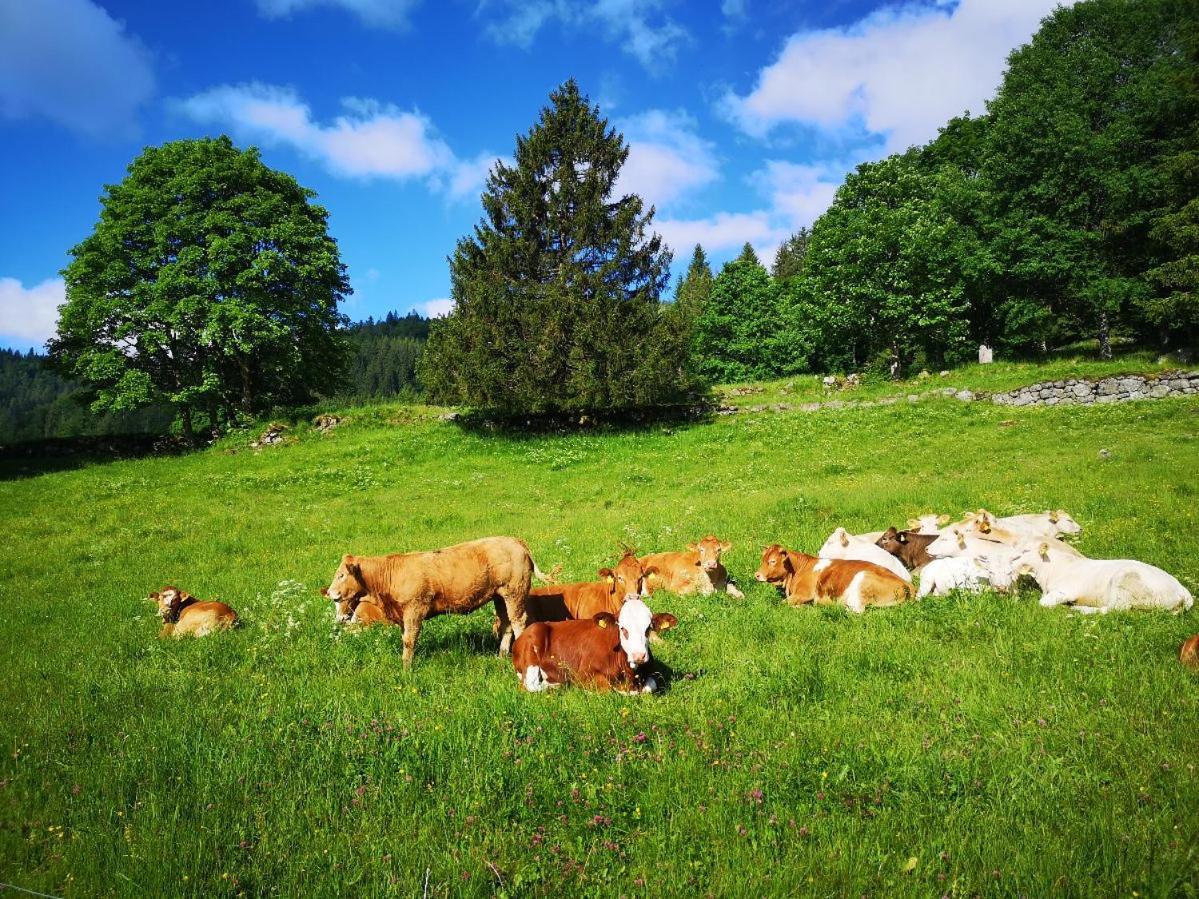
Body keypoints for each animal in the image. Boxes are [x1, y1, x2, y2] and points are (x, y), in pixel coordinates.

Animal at [321, 534, 541, 671]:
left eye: (341, 575)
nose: (330, 593)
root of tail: (515, 541)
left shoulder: (414, 609)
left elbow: (409, 641)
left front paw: (406, 668)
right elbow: (406, 638)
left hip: (515, 592)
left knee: (518, 622)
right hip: (500, 596)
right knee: (506, 624)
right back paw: (501, 655)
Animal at [513, 599, 681, 695]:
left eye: (648, 628)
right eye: (622, 628)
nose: (639, 655)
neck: (630, 675)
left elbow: (651, 686)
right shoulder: (584, 674)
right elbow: (607, 690)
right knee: (529, 686)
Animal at [752, 546, 911, 618]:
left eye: (772, 561)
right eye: (763, 559)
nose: (757, 575)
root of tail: (906, 582)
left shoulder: (803, 593)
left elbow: (782, 603)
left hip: (862, 582)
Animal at [1007, 539, 1194, 618]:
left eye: (1025, 551)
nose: (1010, 559)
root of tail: (1183, 590)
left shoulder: (1065, 591)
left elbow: (1043, 603)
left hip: (1124, 583)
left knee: (1113, 610)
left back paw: (1080, 609)